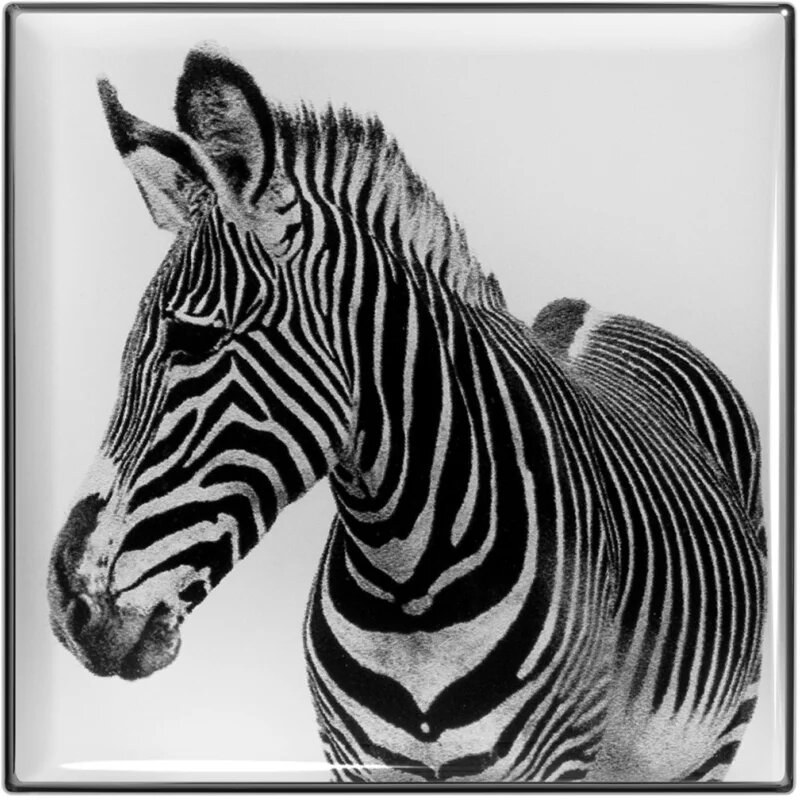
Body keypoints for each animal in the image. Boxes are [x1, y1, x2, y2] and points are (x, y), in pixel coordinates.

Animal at [48, 45, 766, 783]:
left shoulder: (555, 760)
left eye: (193, 341)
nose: (67, 609)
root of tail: (598, 309)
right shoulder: (354, 762)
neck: (410, 587)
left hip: (710, 745)